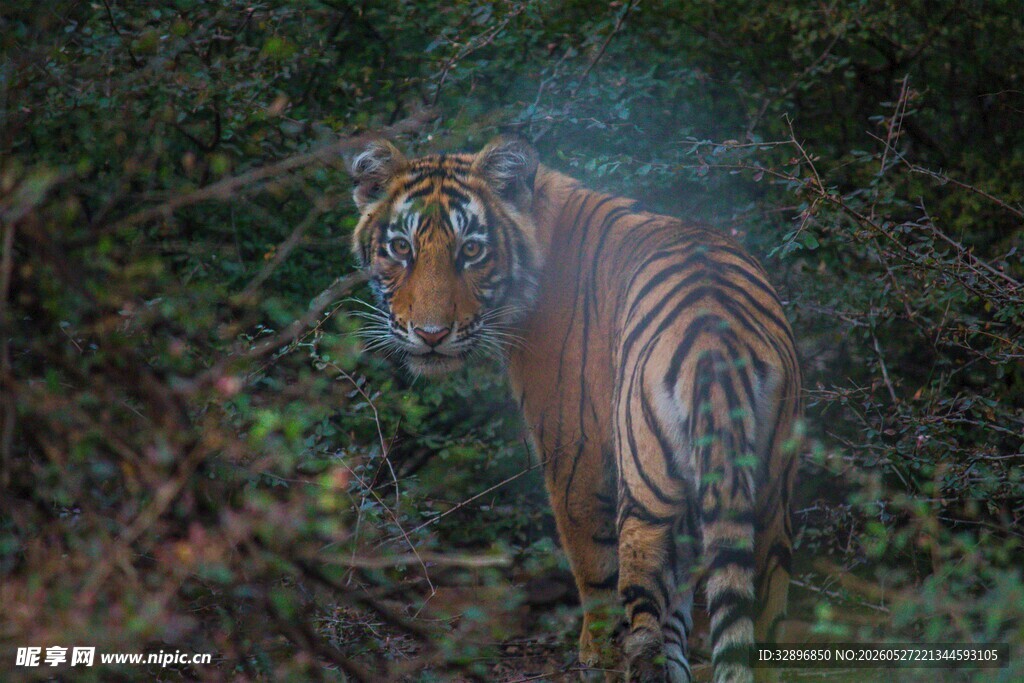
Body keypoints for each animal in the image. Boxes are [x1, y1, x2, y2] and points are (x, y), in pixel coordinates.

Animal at [349, 135, 801, 683]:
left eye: (472, 251)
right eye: (401, 248)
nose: (431, 335)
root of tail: (716, 339)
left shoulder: (573, 448)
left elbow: (592, 566)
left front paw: (592, 653)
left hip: (645, 483)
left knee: (642, 611)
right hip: (769, 495)